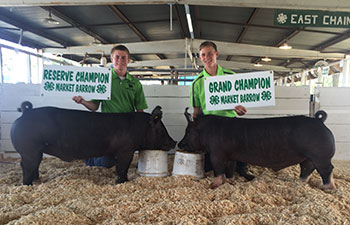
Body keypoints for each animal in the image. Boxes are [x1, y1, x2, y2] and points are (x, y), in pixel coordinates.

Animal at [11, 101, 176, 185]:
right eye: (162, 130)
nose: (174, 142)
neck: (140, 128)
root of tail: (25, 113)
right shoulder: (126, 150)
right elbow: (122, 168)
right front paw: (123, 182)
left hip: (35, 151)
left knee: (34, 165)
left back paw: (37, 180)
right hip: (29, 150)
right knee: (26, 166)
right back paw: (28, 184)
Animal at [179, 108, 334, 189]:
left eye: (188, 132)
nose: (179, 144)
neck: (206, 130)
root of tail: (319, 120)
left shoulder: (217, 153)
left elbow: (218, 169)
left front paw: (213, 185)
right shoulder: (230, 155)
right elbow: (230, 169)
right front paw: (230, 181)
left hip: (321, 156)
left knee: (327, 170)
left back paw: (327, 188)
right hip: (308, 157)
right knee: (307, 169)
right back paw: (299, 182)